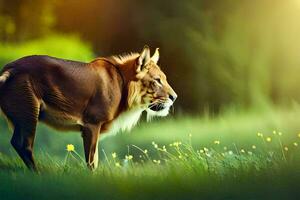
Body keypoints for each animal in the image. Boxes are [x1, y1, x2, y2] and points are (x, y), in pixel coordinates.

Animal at [0, 46, 176, 170]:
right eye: (157, 80)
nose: (174, 97)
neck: (123, 86)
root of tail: (9, 67)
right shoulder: (92, 123)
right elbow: (92, 161)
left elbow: (94, 159)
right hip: (29, 114)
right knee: (24, 145)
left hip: (22, 118)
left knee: (16, 143)